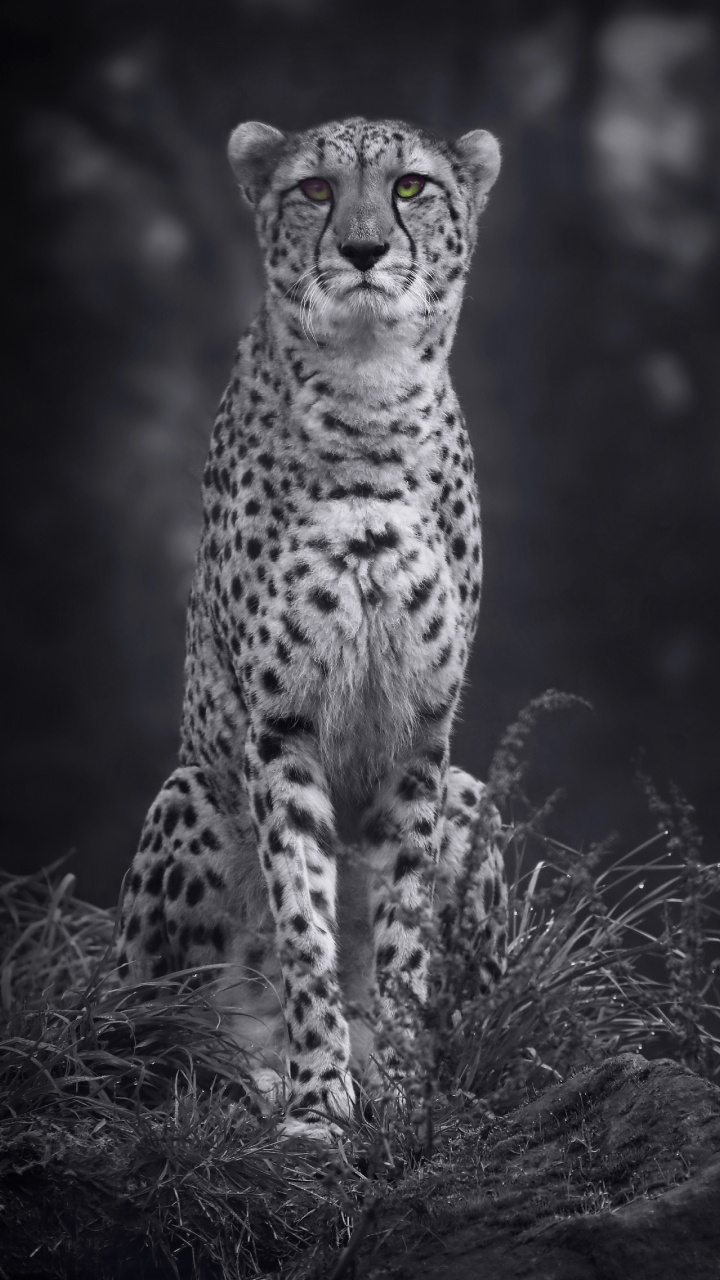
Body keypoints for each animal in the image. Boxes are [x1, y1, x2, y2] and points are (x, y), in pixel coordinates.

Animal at [117, 115, 507, 1139]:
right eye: (315, 191)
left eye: (411, 187)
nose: (364, 249)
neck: (368, 396)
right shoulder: (279, 726)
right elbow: (303, 919)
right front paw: (319, 1102)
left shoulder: (421, 733)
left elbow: (402, 933)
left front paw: (399, 1087)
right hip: (190, 797)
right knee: (151, 1043)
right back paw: (248, 1074)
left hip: (472, 794)